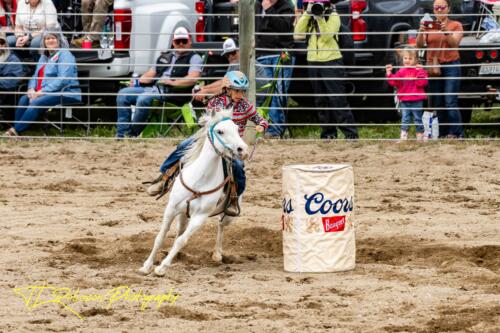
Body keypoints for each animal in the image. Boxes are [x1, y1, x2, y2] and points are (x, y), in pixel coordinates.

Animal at [139, 109, 248, 274]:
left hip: (229, 215)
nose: (243, 150)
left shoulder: (200, 217)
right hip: (183, 213)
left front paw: (162, 267)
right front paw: (147, 265)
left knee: (220, 226)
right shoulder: (171, 208)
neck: (199, 179)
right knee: (181, 230)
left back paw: (217, 254)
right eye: (220, 131)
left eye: (237, 128)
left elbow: (181, 241)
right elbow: (160, 237)